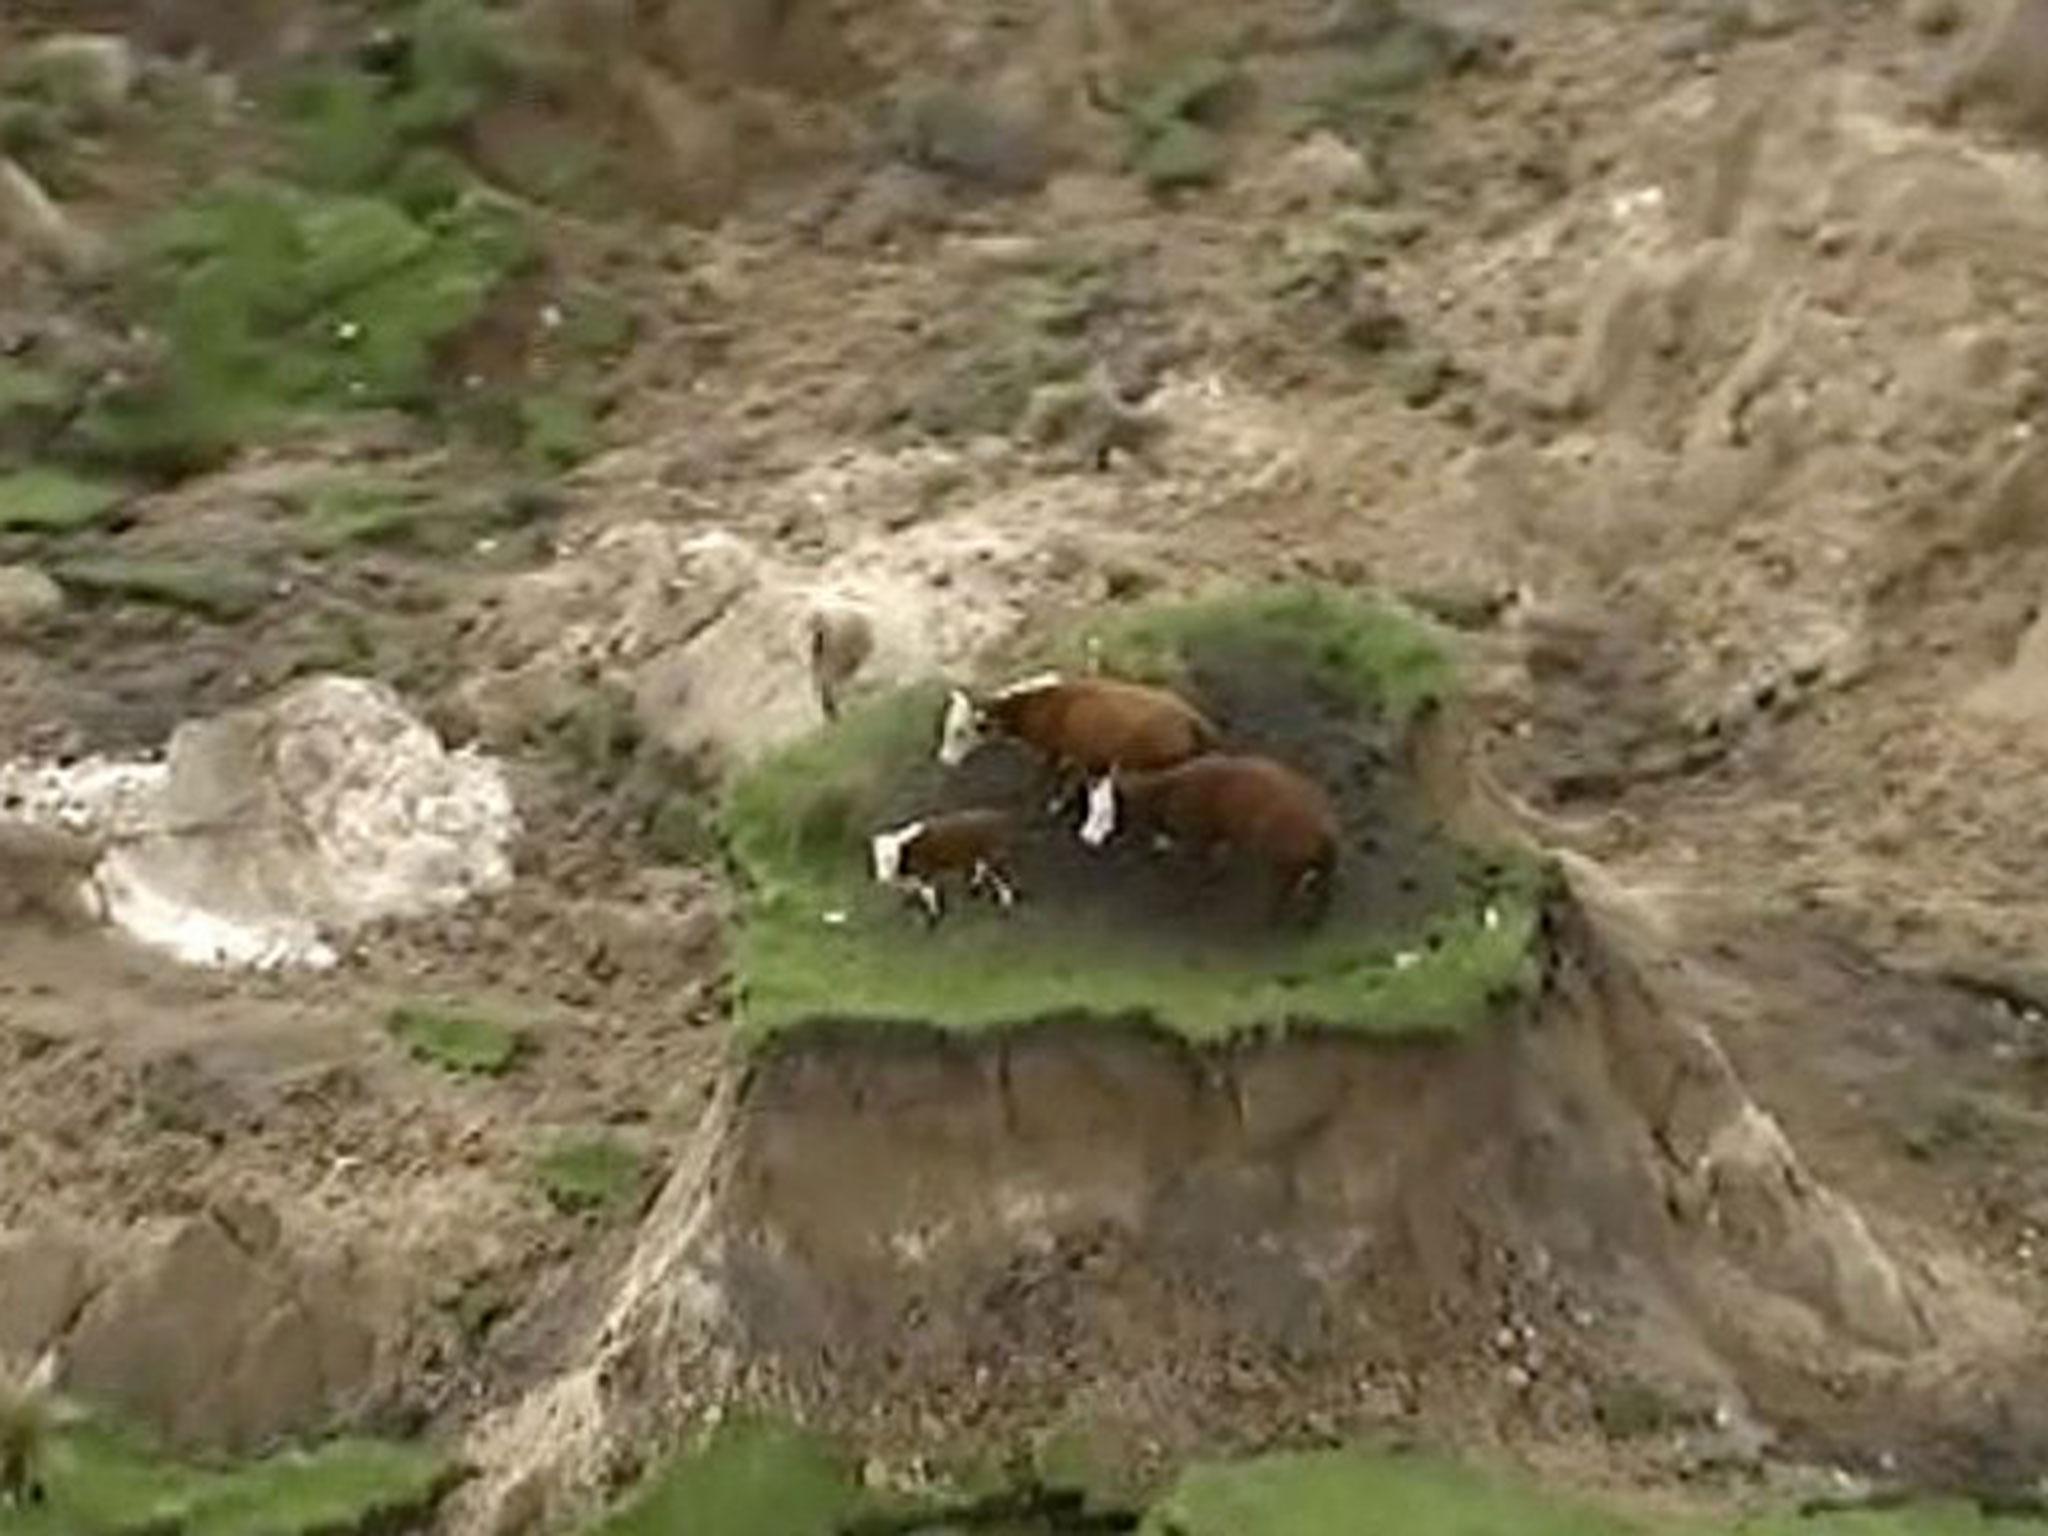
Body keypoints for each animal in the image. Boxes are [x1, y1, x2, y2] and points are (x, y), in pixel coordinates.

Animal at [868, 806, 1019, 925]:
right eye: (876, 857)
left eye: (889, 857)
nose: (881, 878)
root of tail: (1000, 815)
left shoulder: (926, 873)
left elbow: (929, 894)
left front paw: (934, 919)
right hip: (984, 859)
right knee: (987, 876)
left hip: (995, 858)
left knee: (1004, 883)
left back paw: (1006, 911)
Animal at [1081, 753, 1335, 925]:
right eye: (1092, 806)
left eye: (1106, 811)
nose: (1087, 838)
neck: (1168, 791)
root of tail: (1323, 823)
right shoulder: (1211, 839)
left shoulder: (1195, 839)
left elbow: (1193, 872)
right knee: (1321, 895)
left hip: (1284, 866)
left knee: (1282, 895)